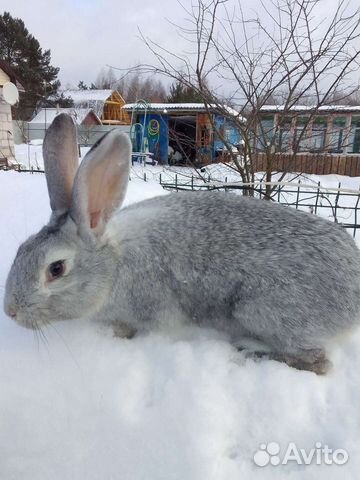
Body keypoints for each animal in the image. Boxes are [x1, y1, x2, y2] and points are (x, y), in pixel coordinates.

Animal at [2, 113, 360, 376]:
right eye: (20, 250)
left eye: (56, 269)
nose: (10, 311)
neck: (114, 264)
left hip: (264, 310)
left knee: (317, 363)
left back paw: (247, 353)